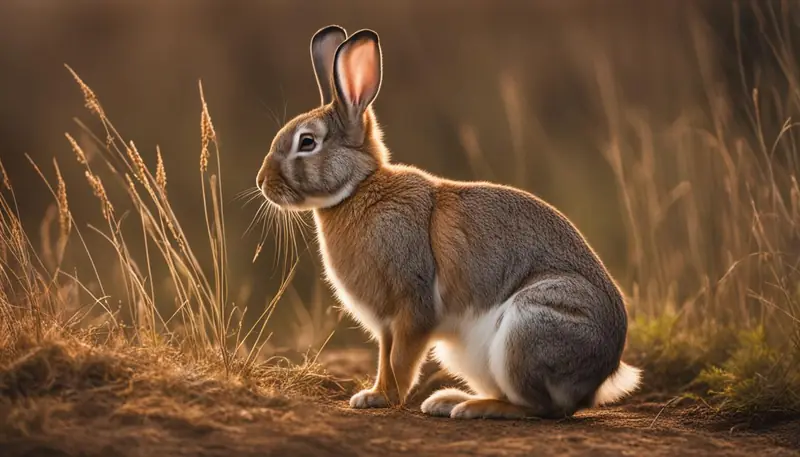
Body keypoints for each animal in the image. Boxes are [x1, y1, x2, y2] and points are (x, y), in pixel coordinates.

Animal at [256, 24, 642, 419]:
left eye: (307, 142)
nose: (261, 183)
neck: (359, 187)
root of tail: (601, 375)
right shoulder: (387, 326)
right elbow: (384, 360)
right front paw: (372, 395)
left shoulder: (413, 306)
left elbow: (401, 361)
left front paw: (386, 400)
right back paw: (448, 400)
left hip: (527, 328)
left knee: (540, 408)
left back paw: (471, 407)